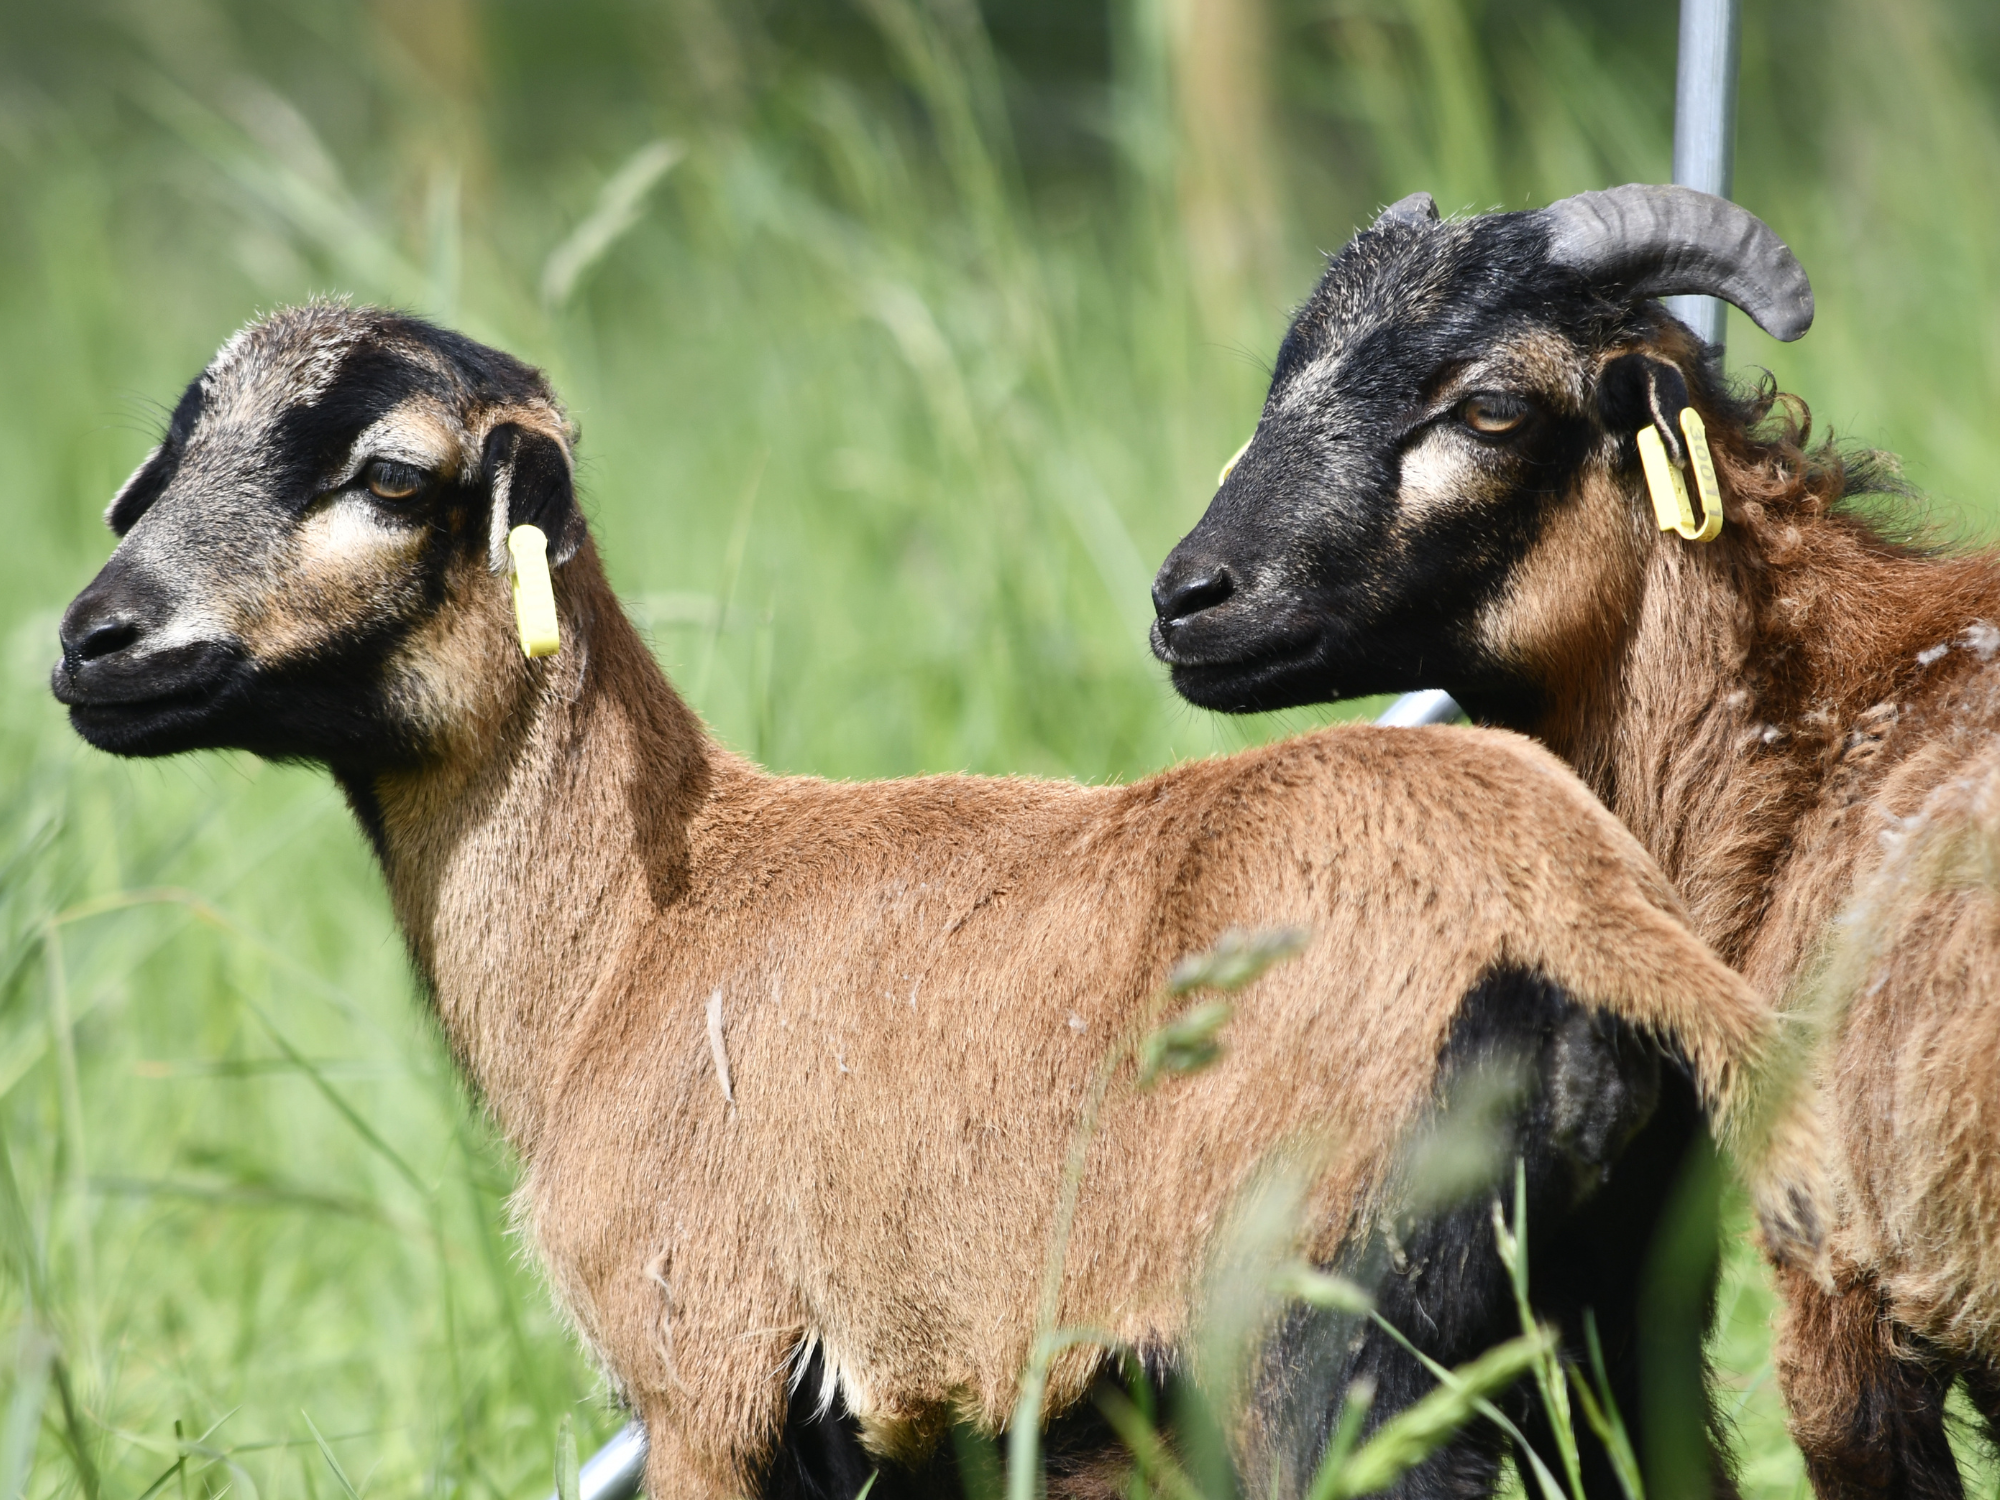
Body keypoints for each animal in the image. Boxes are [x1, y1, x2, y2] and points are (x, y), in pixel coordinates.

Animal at [49, 302, 1775, 1500]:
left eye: (391, 475)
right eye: (169, 457)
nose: (93, 642)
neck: (630, 940)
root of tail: (1580, 922)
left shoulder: (705, 1383)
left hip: (1331, 1343)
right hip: (1630, 1325)